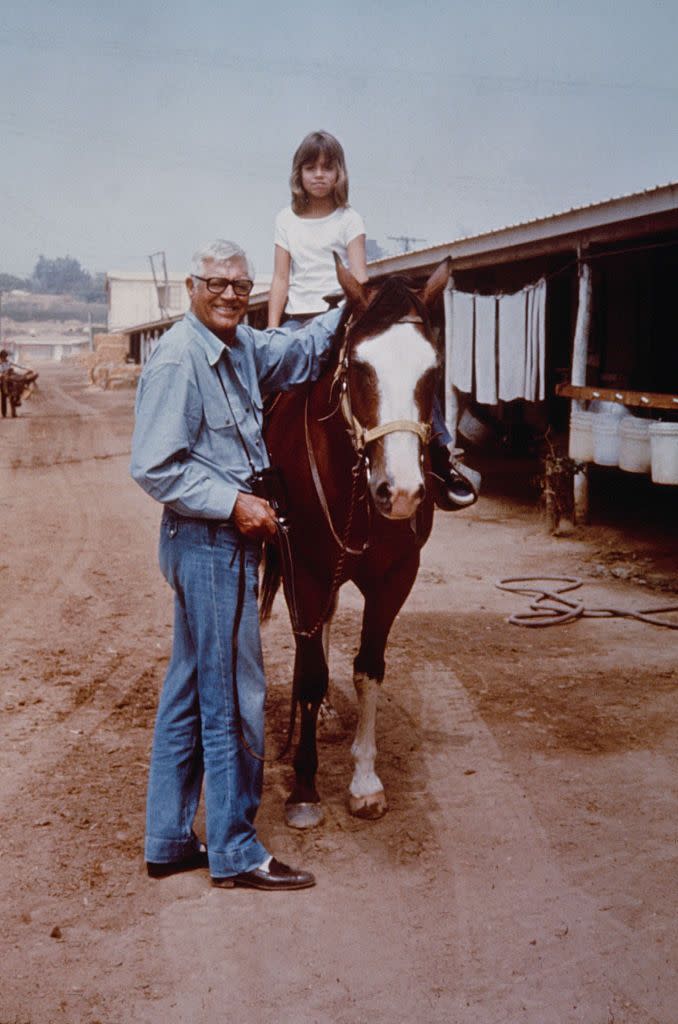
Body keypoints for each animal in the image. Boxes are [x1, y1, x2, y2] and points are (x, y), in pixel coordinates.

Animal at [261, 256, 450, 831]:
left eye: (432, 372)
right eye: (360, 367)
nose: (401, 491)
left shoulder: (395, 577)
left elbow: (368, 669)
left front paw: (365, 781)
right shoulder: (303, 567)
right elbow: (312, 672)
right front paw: (304, 786)